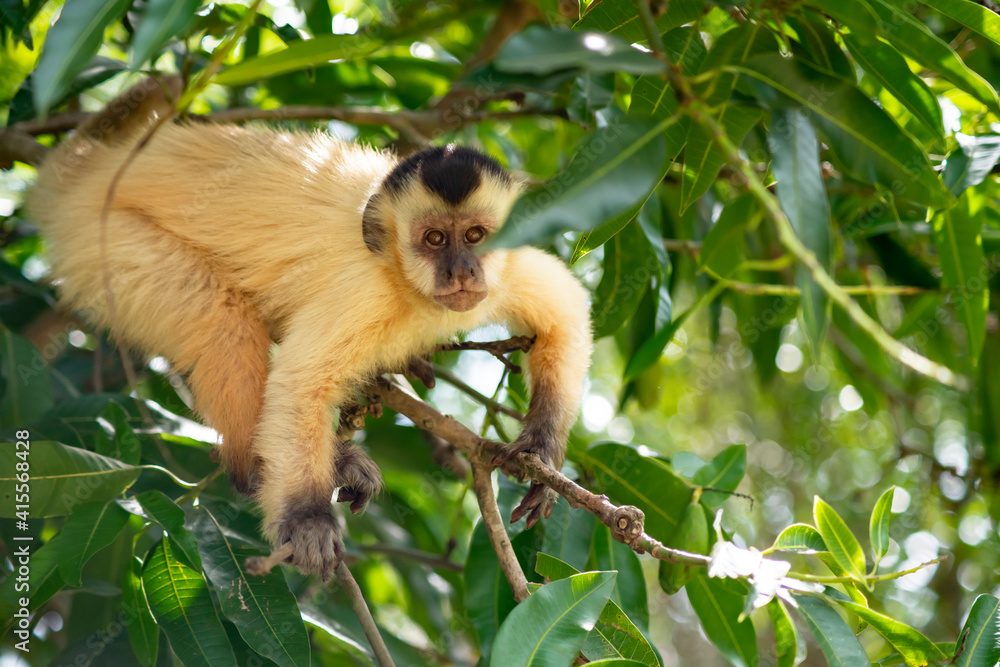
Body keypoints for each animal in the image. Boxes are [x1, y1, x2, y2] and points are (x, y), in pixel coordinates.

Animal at [27, 77, 593, 580]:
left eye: (475, 236)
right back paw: (255, 466)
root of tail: (92, 173)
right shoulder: (364, 292)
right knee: (225, 322)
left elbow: (564, 310)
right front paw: (306, 519)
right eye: (434, 239)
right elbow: (301, 385)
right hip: (103, 241)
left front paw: (540, 450)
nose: (461, 271)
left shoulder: (508, 265)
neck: (405, 282)